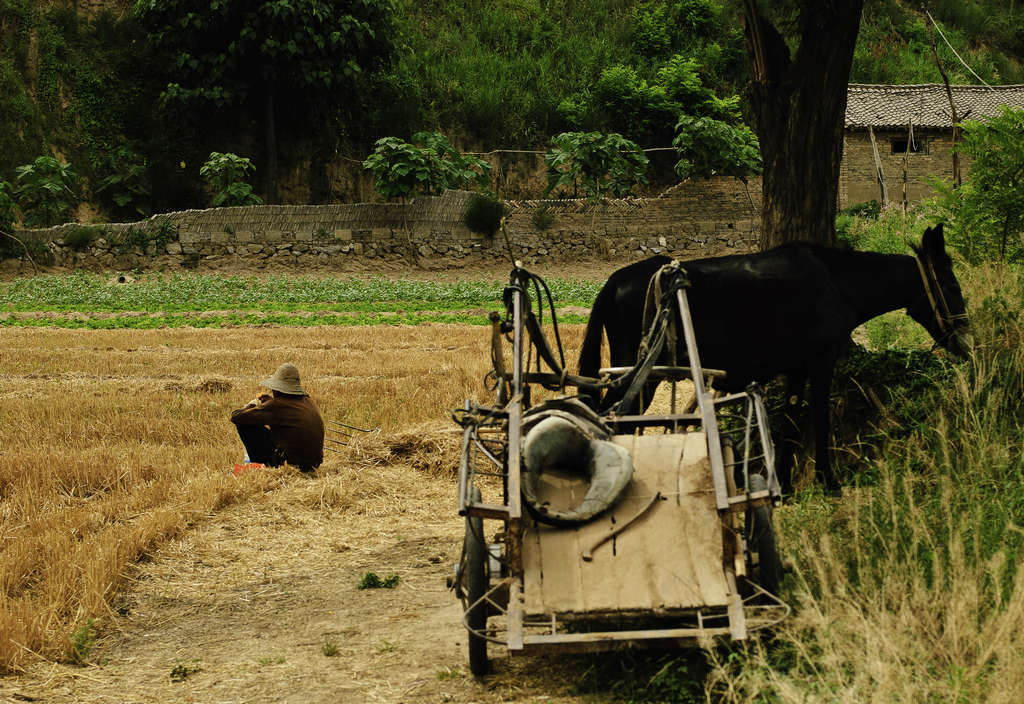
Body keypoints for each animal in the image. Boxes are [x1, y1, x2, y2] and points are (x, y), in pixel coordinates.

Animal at [581, 224, 970, 495]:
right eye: (952, 288)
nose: (967, 342)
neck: (837, 282)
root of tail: (614, 280)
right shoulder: (821, 364)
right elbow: (819, 419)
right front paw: (828, 481)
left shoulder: (797, 369)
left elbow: (792, 423)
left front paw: (783, 482)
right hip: (640, 376)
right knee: (610, 420)